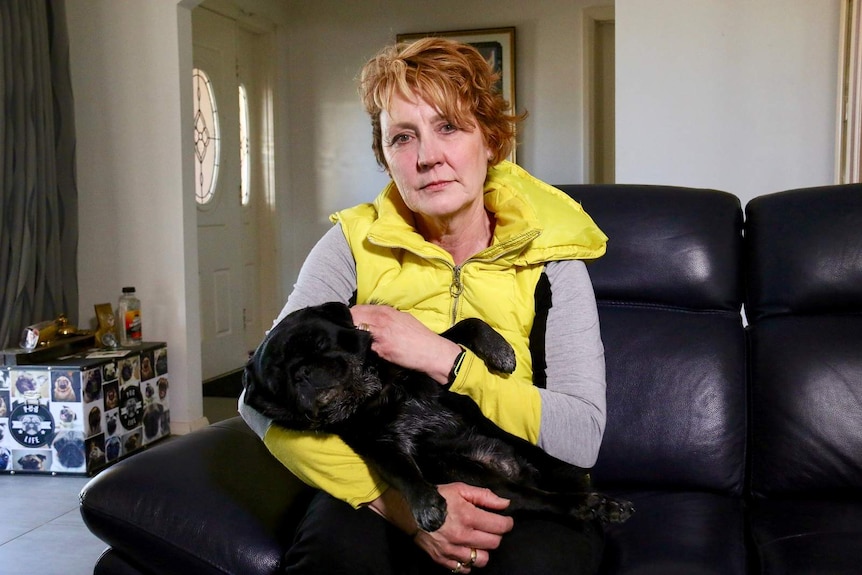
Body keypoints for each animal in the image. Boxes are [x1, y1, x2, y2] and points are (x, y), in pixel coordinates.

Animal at [243, 304, 636, 532]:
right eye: (277, 379)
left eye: (319, 343)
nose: (301, 372)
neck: (379, 390)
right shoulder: (381, 446)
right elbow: (404, 474)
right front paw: (426, 504)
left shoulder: (433, 357)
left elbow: (465, 327)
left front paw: (500, 352)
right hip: (486, 482)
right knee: (544, 499)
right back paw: (586, 506)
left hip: (542, 455)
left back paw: (604, 504)